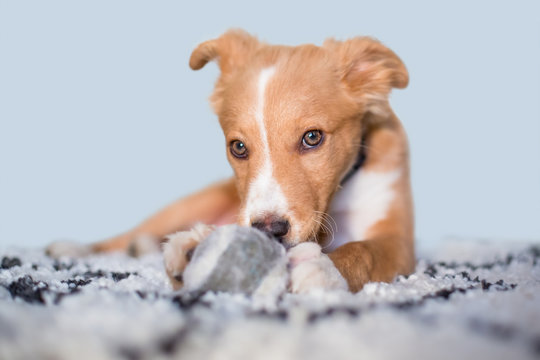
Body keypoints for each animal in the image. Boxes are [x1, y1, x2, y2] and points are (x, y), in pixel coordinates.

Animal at [48, 29, 416, 294]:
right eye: (238, 147)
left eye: (312, 138)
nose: (269, 231)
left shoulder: (399, 242)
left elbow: (365, 251)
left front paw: (324, 267)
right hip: (197, 201)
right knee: (133, 232)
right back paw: (78, 248)